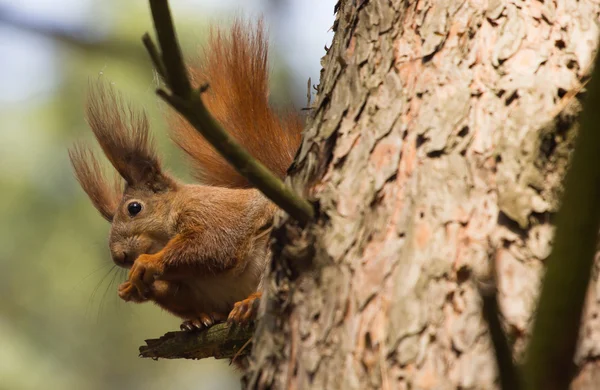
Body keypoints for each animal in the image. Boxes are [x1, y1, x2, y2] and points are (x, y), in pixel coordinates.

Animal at [70, 19, 302, 330]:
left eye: (134, 208)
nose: (119, 257)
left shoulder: (212, 213)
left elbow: (211, 245)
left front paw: (148, 263)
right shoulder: (186, 285)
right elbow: (174, 291)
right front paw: (131, 289)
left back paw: (251, 303)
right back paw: (199, 319)